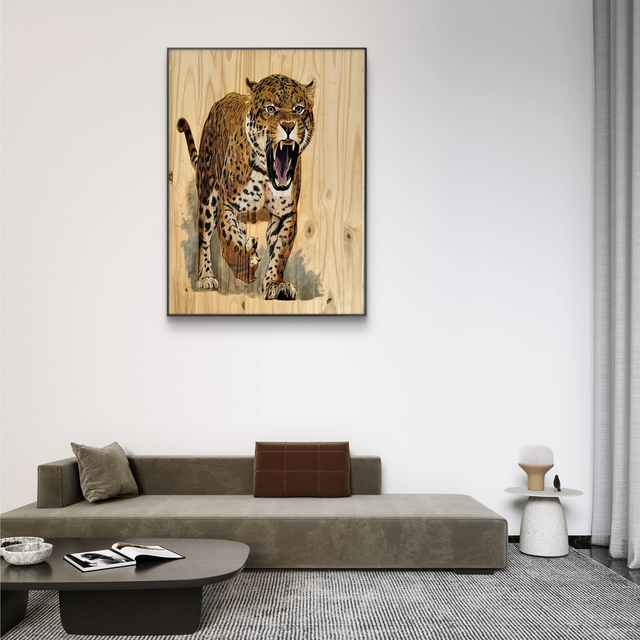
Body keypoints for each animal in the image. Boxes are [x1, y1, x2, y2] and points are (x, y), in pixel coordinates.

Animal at [177, 74, 316, 300]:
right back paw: (206, 276)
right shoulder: (227, 206)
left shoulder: (286, 215)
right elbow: (229, 241)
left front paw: (276, 284)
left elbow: (280, 253)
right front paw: (246, 263)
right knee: (204, 239)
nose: (288, 125)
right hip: (208, 195)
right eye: (270, 109)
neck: (266, 175)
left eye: (299, 108)